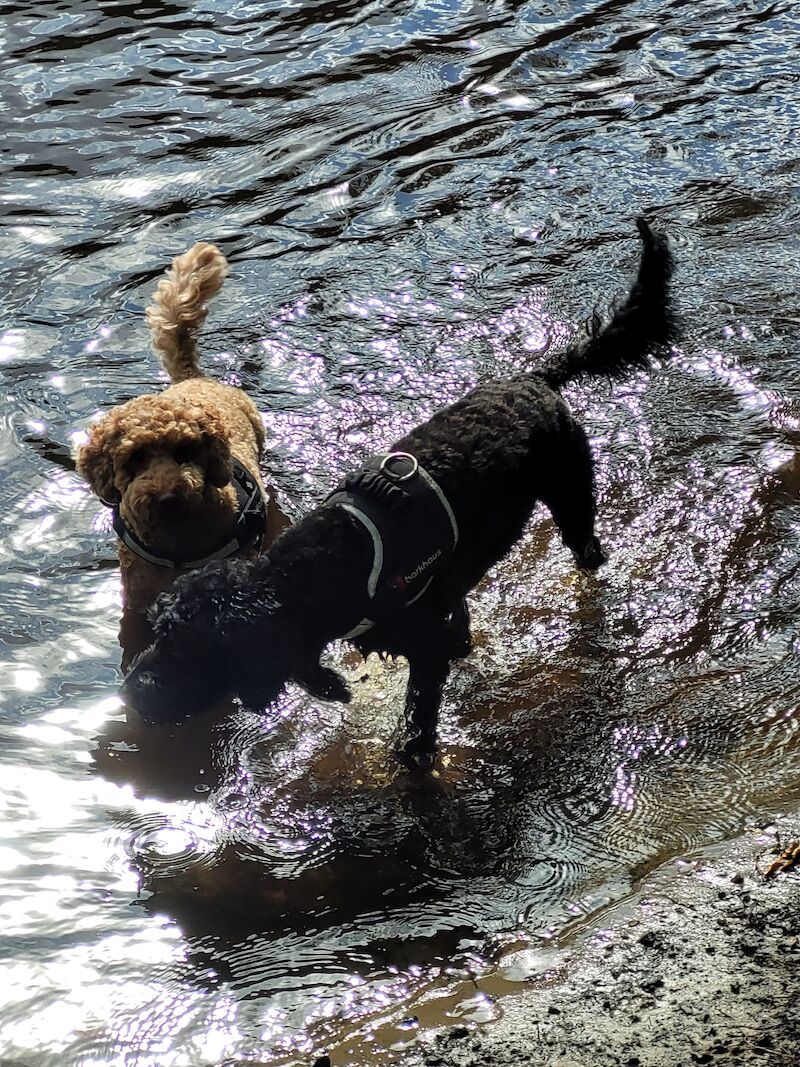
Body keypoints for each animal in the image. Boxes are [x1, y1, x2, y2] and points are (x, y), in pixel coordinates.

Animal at [77, 237, 279, 614]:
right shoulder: (139, 598)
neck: (179, 545)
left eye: (185, 450)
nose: (168, 497)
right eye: (136, 458)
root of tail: (191, 377)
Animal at [123, 216, 678, 755]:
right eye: (156, 632)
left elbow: (416, 728)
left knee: (587, 551)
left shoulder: (427, 647)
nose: (131, 691)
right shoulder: (440, 619)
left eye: (184, 645)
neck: (317, 571)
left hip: (571, 496)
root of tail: (534, 379)